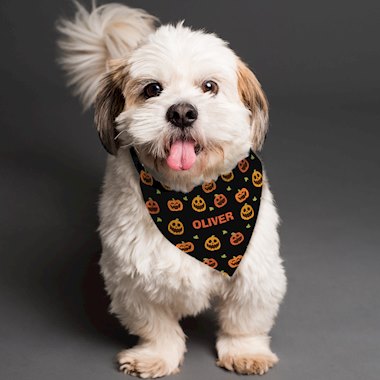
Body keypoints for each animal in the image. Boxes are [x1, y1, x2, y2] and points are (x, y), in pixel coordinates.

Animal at [58, 2, 286, 378]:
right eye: (152, 89)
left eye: (209, 86)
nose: (181, 111)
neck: (189, 193)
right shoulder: (130, 278)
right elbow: (156, 326)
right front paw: (156, 355)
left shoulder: (255, 271)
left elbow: (244, 320)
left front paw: (245, 351)